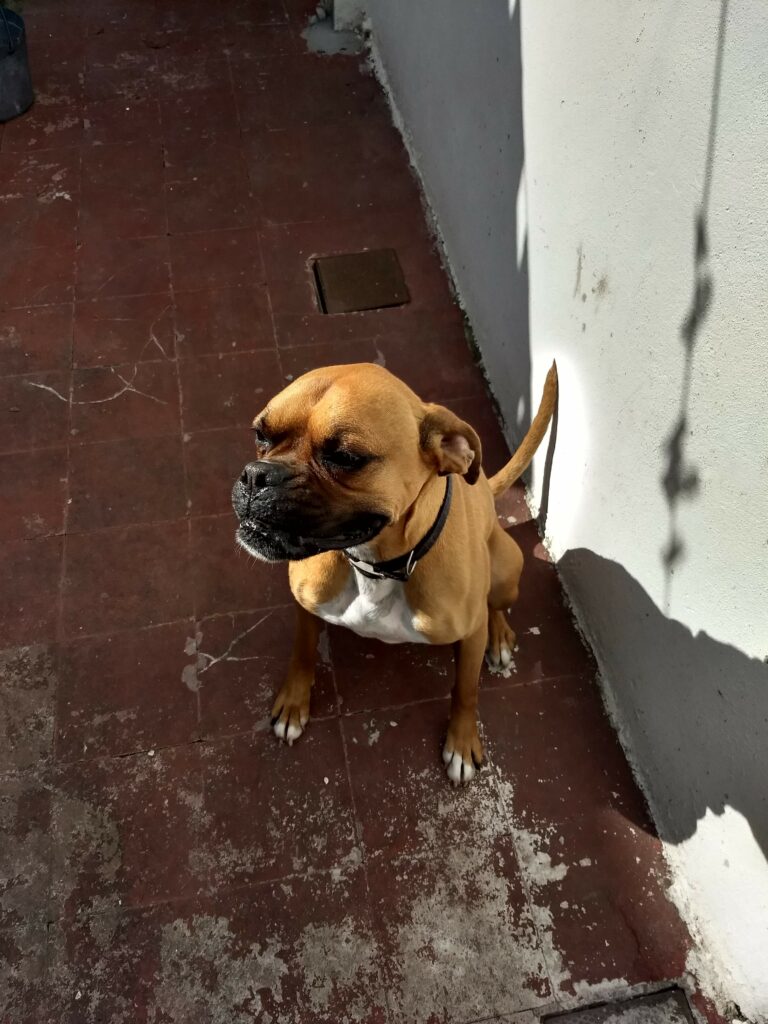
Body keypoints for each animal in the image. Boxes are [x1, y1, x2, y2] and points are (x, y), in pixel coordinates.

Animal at [231, 360, 557, 782]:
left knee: (494, 606)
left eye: (346, 458)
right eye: (261, 435)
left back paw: (499, 636)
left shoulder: (469, 635)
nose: (257, 475)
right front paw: (293, 703)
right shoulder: (305, 606)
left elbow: (465, 691)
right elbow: (302, 652)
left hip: (505, 571)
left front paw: (462, 742)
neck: (378, 565)